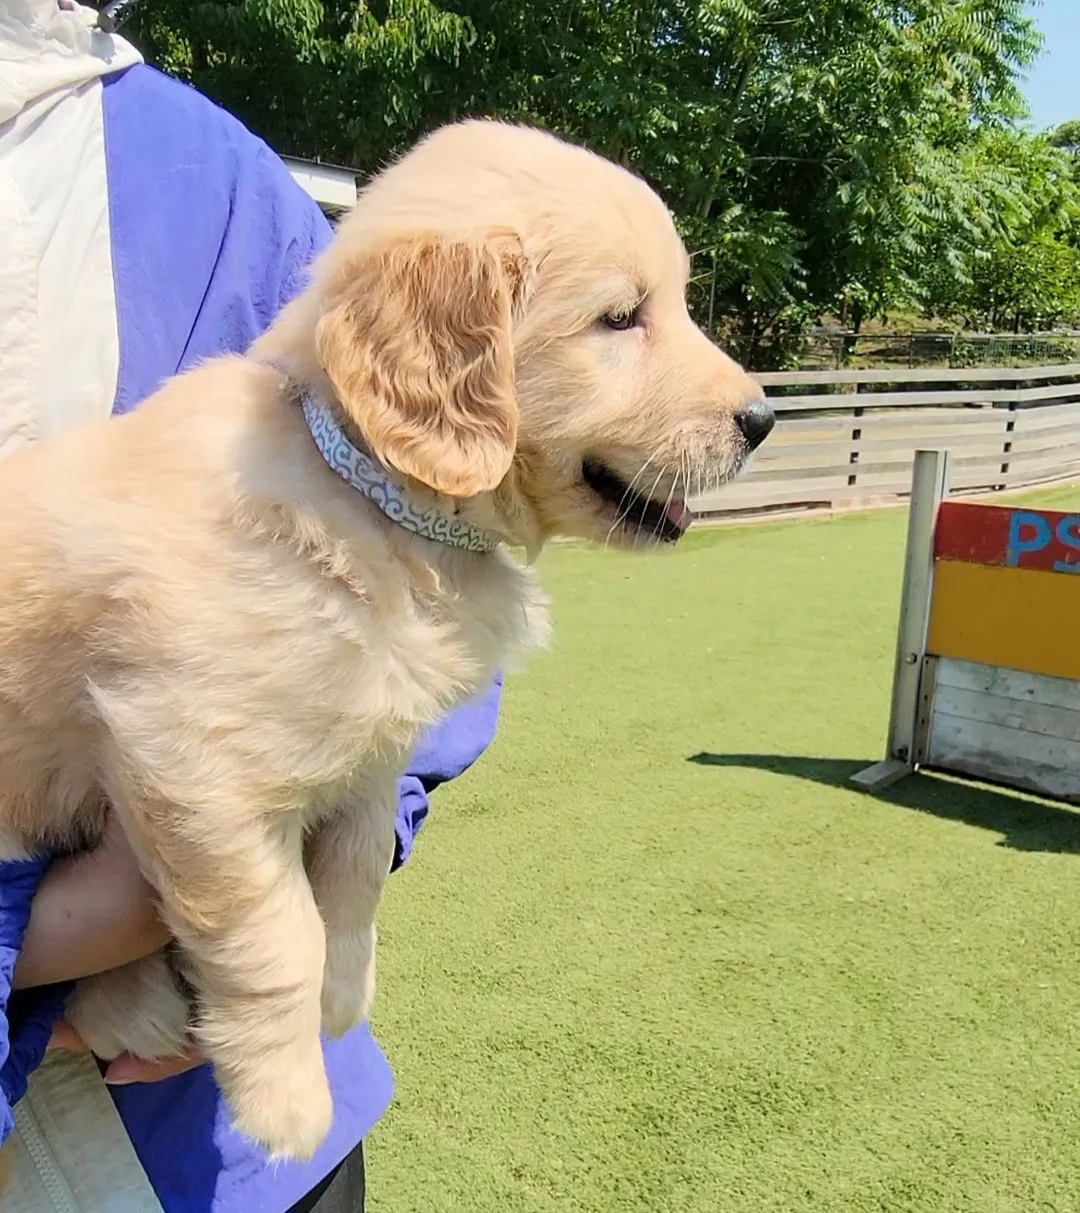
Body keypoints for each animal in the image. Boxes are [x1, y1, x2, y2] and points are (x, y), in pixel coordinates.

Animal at [0, 118, 766, 1159]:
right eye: (621, 318)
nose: (764, 419)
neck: (367, 491)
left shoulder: (366, 756)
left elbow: (355, 882)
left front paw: (342, 995)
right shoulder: (190, 763)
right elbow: (275, 935)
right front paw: (286, 1102)